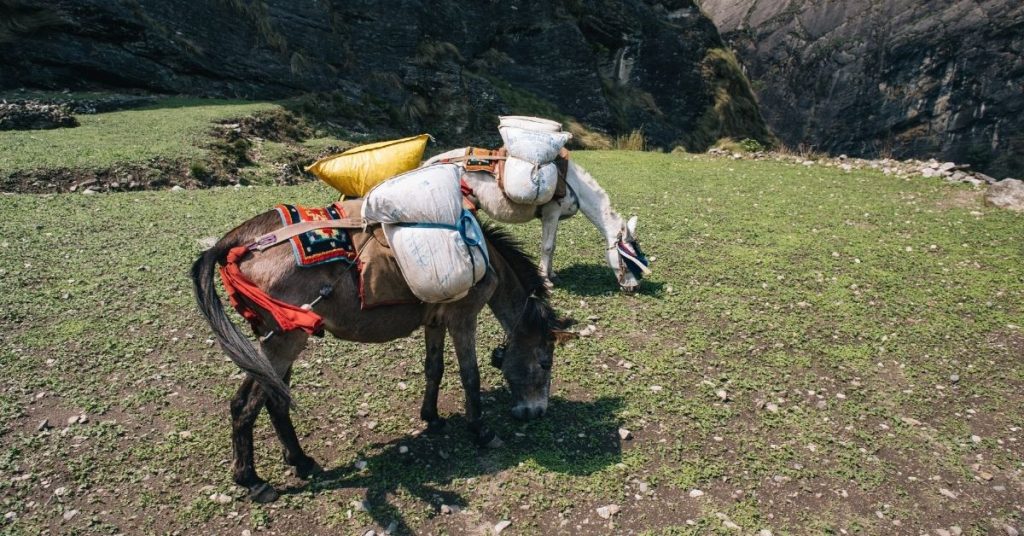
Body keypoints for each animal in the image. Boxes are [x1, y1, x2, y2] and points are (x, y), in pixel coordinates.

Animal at [191, 206, 572, 503]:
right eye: (545, 362)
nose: (536, 412)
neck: (485, 257)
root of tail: (238, 241)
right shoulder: (463, 318)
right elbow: (470, 376)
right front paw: (481, 431)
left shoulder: (436, 319)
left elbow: (434, 368)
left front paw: (432, 417)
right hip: (284, 343)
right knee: (245, 405)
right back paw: (253, 481)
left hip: (276, 342)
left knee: (275, 401)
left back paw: (300, 461)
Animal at [424, 148, 651, 293]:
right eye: (627, 259)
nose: (634, 287)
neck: (574, 184)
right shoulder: (551, 212)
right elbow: (547, 247)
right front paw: (546, 281)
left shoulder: (554, 217)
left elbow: (553, 245)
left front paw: (551, 275)